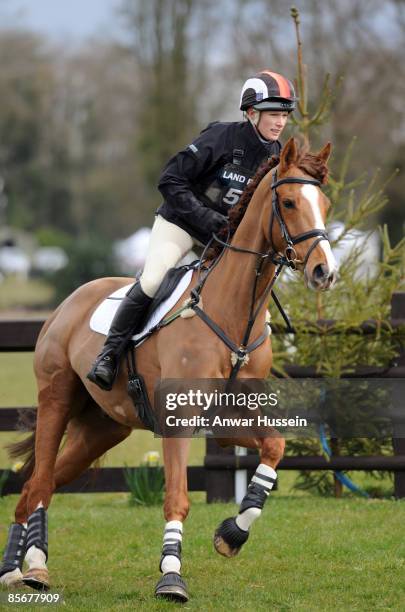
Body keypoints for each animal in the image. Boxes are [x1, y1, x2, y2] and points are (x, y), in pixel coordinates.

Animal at [0, 139, 334, 604]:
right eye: (288, 202)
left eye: (325, 203)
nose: (325, 272)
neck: (232, 313)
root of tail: (68, 302)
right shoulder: (179, 418)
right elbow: (177, 498)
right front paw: (171, 577)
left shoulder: (228, 422)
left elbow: (274, 447)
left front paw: (232, 534)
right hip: (56, 400)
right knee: (40, 482)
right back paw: (31, 567)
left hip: (102, 429)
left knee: (39, 483)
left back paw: (20, 567)